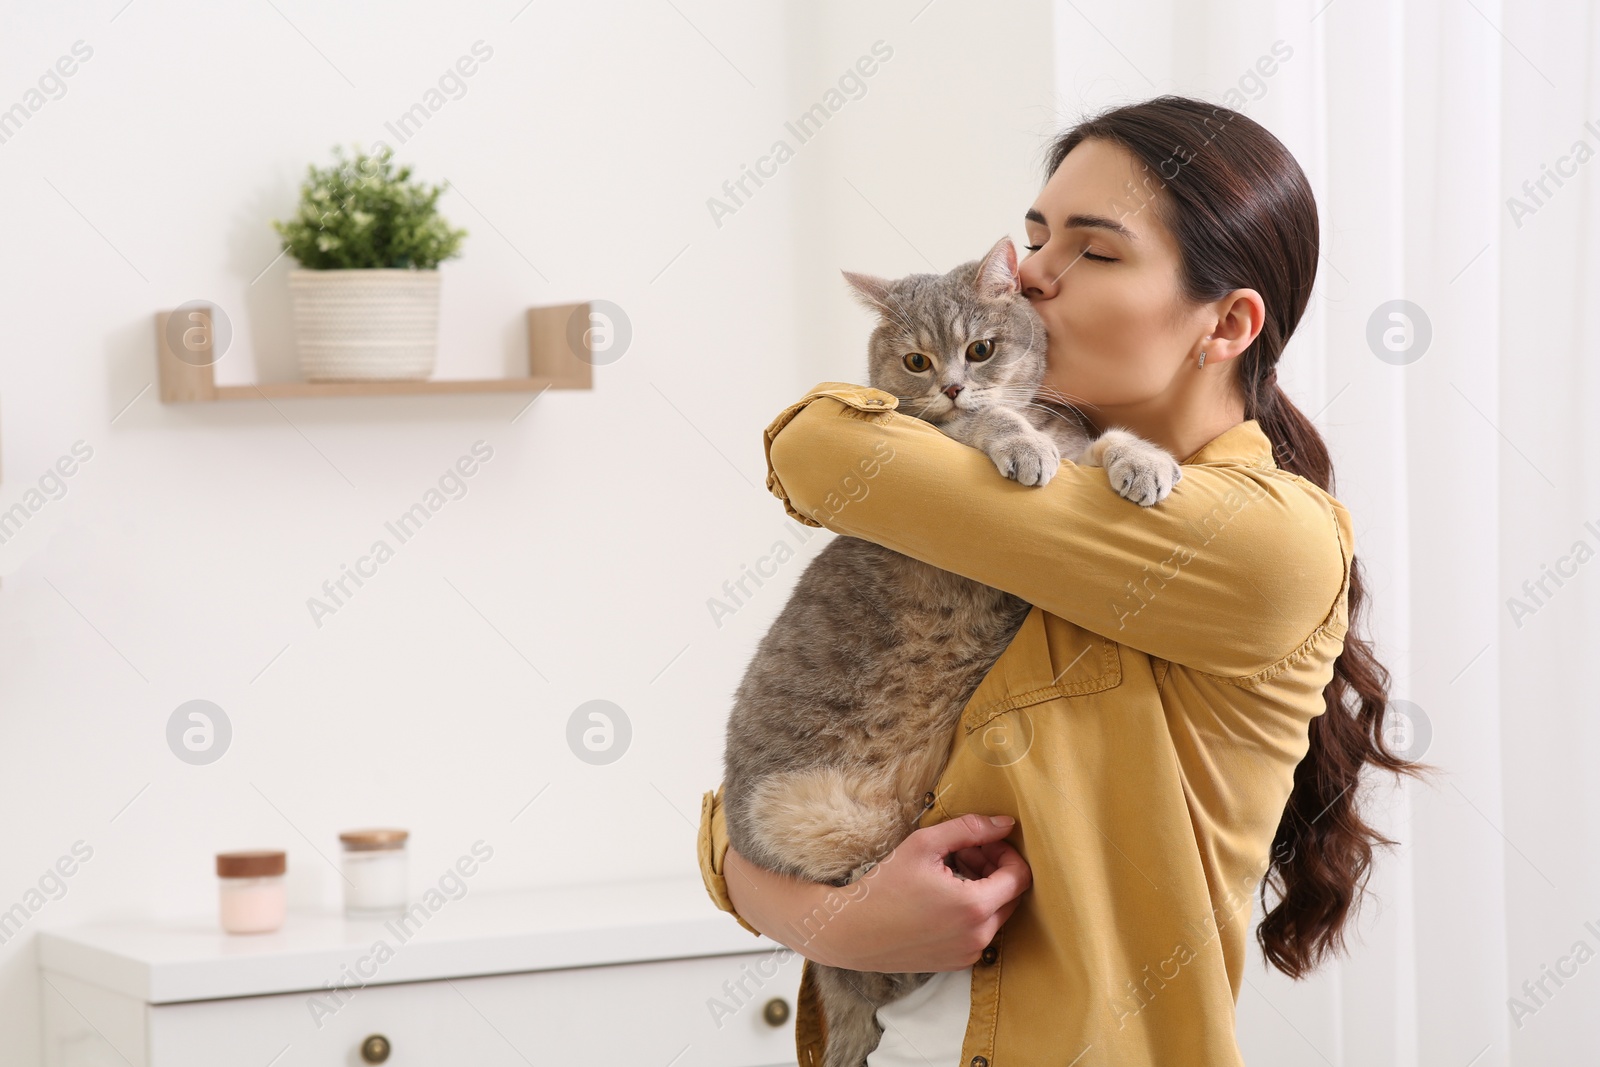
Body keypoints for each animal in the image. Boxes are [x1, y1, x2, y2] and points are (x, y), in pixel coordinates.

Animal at [720, 238, 1184, 1062]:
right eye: (914, 360)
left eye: (980, 348)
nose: (954, 385)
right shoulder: (940, 436)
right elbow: (991, 427)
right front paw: (1022, 445)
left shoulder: (1072, 437)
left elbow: (1105, 442)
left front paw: (1145, 462)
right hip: (804, 821)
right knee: (869, 950)